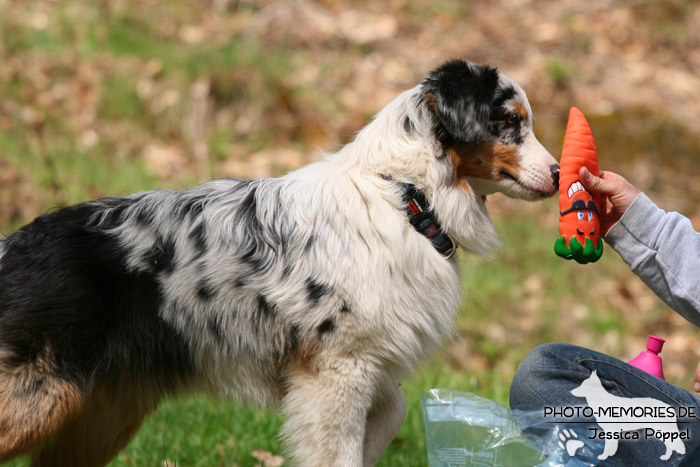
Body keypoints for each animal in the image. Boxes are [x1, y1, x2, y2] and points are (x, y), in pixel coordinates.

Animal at [0, 60, 556, 466]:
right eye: (510, 122)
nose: (558, 174)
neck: (405, 195)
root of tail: (14, 244)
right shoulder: (335, 372)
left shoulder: (366, 366)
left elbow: (393, 411)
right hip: (43, 398)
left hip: (104, 411)